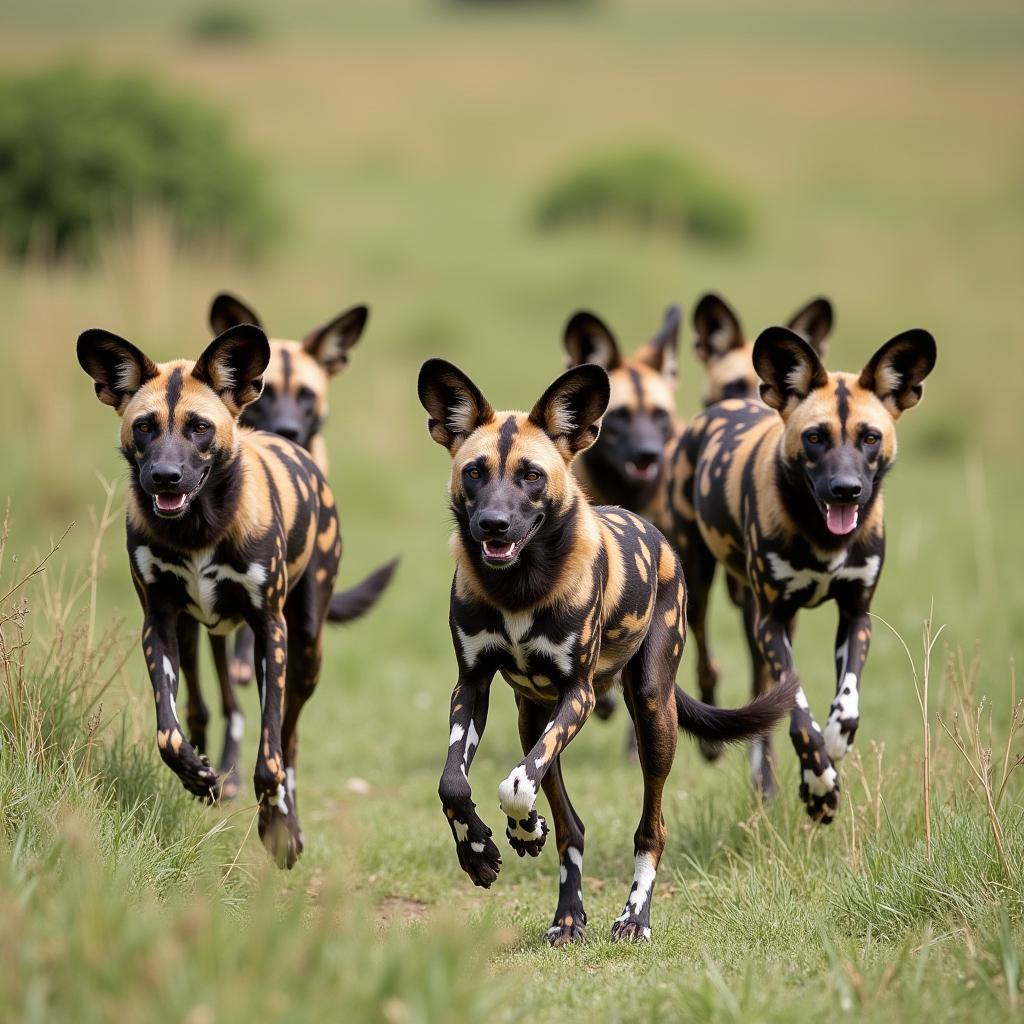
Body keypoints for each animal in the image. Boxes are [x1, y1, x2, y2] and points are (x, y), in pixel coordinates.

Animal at [78, 323, 344, 868]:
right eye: (145, 427)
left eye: (199, 427)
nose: (165, 477)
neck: (199, 527)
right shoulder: (158, 622)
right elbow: (168, 731)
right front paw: (197, 776)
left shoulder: (270, 630)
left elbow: (270, 759)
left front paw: (277, 829)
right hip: (194, 631)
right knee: (200, 710)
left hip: (303, 647)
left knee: (288, 738)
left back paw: (286, 818)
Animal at [417, 358, 798, 942]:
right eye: (475, 472)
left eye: (531, 475)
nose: (493, 525)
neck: (519, 585)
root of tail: (656, 535)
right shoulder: (473, 687)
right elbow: (455, 784)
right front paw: (484, 847)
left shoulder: (579, 695)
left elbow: (515, 783)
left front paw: (516, 826)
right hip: (534, 716)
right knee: (568, 824)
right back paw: (567, 915)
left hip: (652, 714)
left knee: (651, 828)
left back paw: (633, 916)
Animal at [663, 323, 937, 819]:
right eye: (815, 437)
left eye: (870, 437)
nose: (846, 490)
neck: (823, 537)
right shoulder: (772, 622)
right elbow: (800, 719)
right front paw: (821, 786)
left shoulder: (855, 616)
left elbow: (845, 705)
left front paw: (836, 745)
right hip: (700, 587)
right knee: (707, 659)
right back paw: (717, 746)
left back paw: (764, 781)